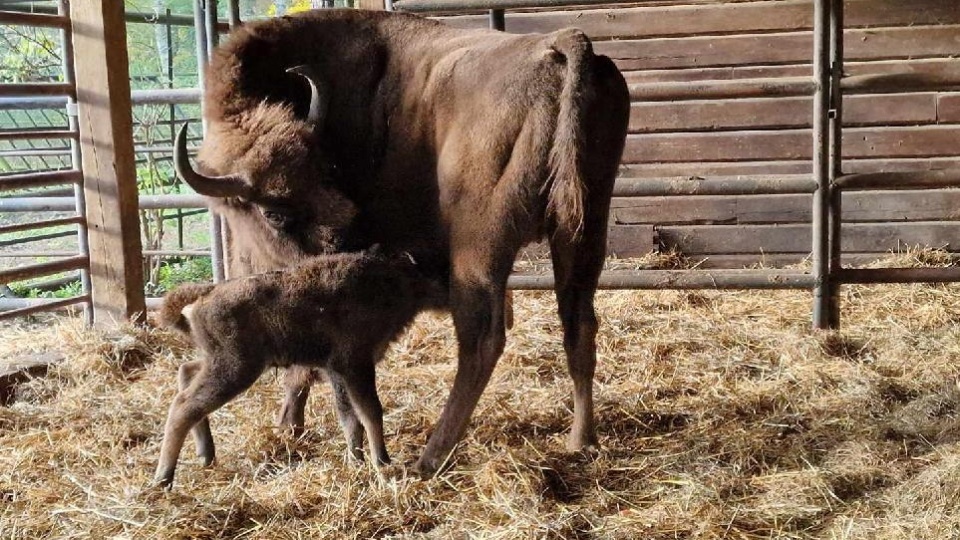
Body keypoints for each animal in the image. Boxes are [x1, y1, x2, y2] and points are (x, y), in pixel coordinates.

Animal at [155, 251, 446, 488]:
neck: (392, 279)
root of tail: (207, 293)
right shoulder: (355, 365)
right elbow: (370, 412)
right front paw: (382, 461)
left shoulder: (338, 372)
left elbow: (350, 417)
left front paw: (357, 459)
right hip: (235, 368)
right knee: (184, 406)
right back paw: (164, 477)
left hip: (219, 361)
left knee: (186, 373)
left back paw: (206, 456)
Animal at [174, 7, 632, 472]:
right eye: (276, 211)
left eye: (327, 174)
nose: (338, 252)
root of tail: (557, 45)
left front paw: (294, 425)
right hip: (583, 228)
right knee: (578, 324)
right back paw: (581, 440)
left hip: (479, 245)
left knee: (483, 337)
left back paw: (431, 456)